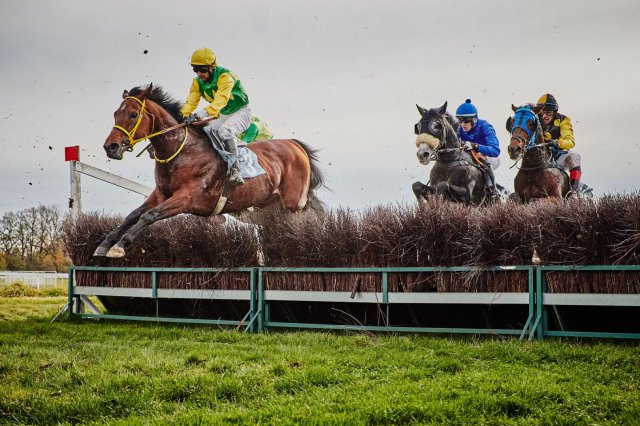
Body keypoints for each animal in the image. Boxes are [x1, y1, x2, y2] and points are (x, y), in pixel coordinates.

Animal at [94, 83, 324, 256]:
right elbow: (133, 215)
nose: (110, 147)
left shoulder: (187, 198)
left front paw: (120, 246)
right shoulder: (160, 193)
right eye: (116, 113)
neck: (182, 152)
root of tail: (295, 145)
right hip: (270, 207)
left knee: (304, 221)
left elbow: (149, 216)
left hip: (294, 204)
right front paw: (105, 243)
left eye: (133, 114)